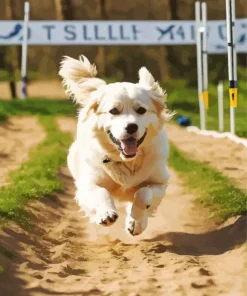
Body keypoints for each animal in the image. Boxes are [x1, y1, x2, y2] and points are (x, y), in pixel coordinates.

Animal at [58, 55, 173, 236]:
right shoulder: (86, 184)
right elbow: (101, 192)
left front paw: (135, 220)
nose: (131, 127)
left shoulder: (160, 183)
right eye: (113, 111)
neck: (126, 161)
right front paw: (106, 213)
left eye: (141, 110)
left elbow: (143, 193)